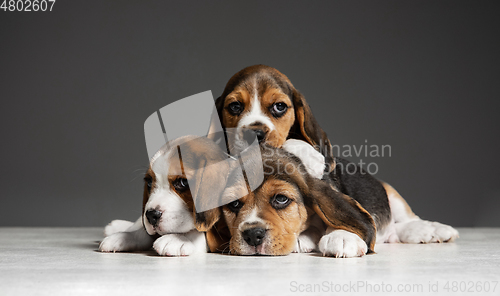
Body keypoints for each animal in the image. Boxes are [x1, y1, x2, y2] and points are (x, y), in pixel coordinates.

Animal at [209, 65, 458, 256]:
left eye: (279, 107)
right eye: (234, 106)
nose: (255, 134)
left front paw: (344, 235)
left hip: (389, 192)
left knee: (406, 219)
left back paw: (432, 230)